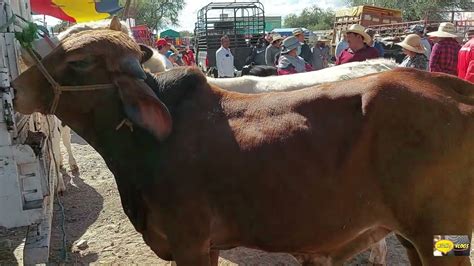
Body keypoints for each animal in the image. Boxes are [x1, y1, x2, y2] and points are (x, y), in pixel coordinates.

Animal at [11, 24, 474, 264]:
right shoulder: (208, 246)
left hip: (439, 239)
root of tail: (451, 87)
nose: (16, 88)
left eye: (78, 62)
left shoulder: (190, 243)